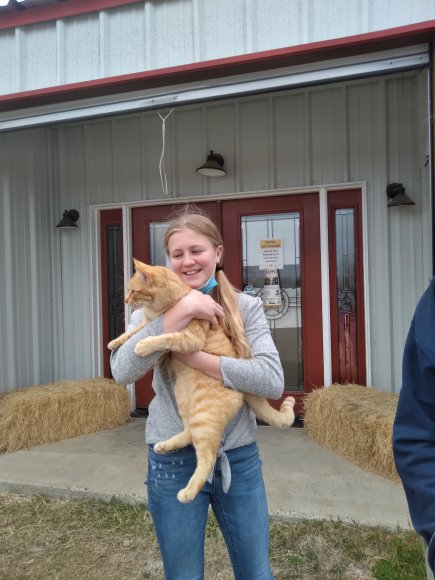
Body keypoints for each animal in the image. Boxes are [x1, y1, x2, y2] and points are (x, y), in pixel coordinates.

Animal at [108, 258, 296, 502]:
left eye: (133, 290)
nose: (125, 300)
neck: (163, 308)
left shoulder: (189, 339)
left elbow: (163, 337)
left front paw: (143, 345)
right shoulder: (147, 323)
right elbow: (133, 332)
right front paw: (115, 342)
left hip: (203, 414)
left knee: (207, 458)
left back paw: (187, 493)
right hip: (184, 398)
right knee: (189, 433)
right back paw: (165, 446)